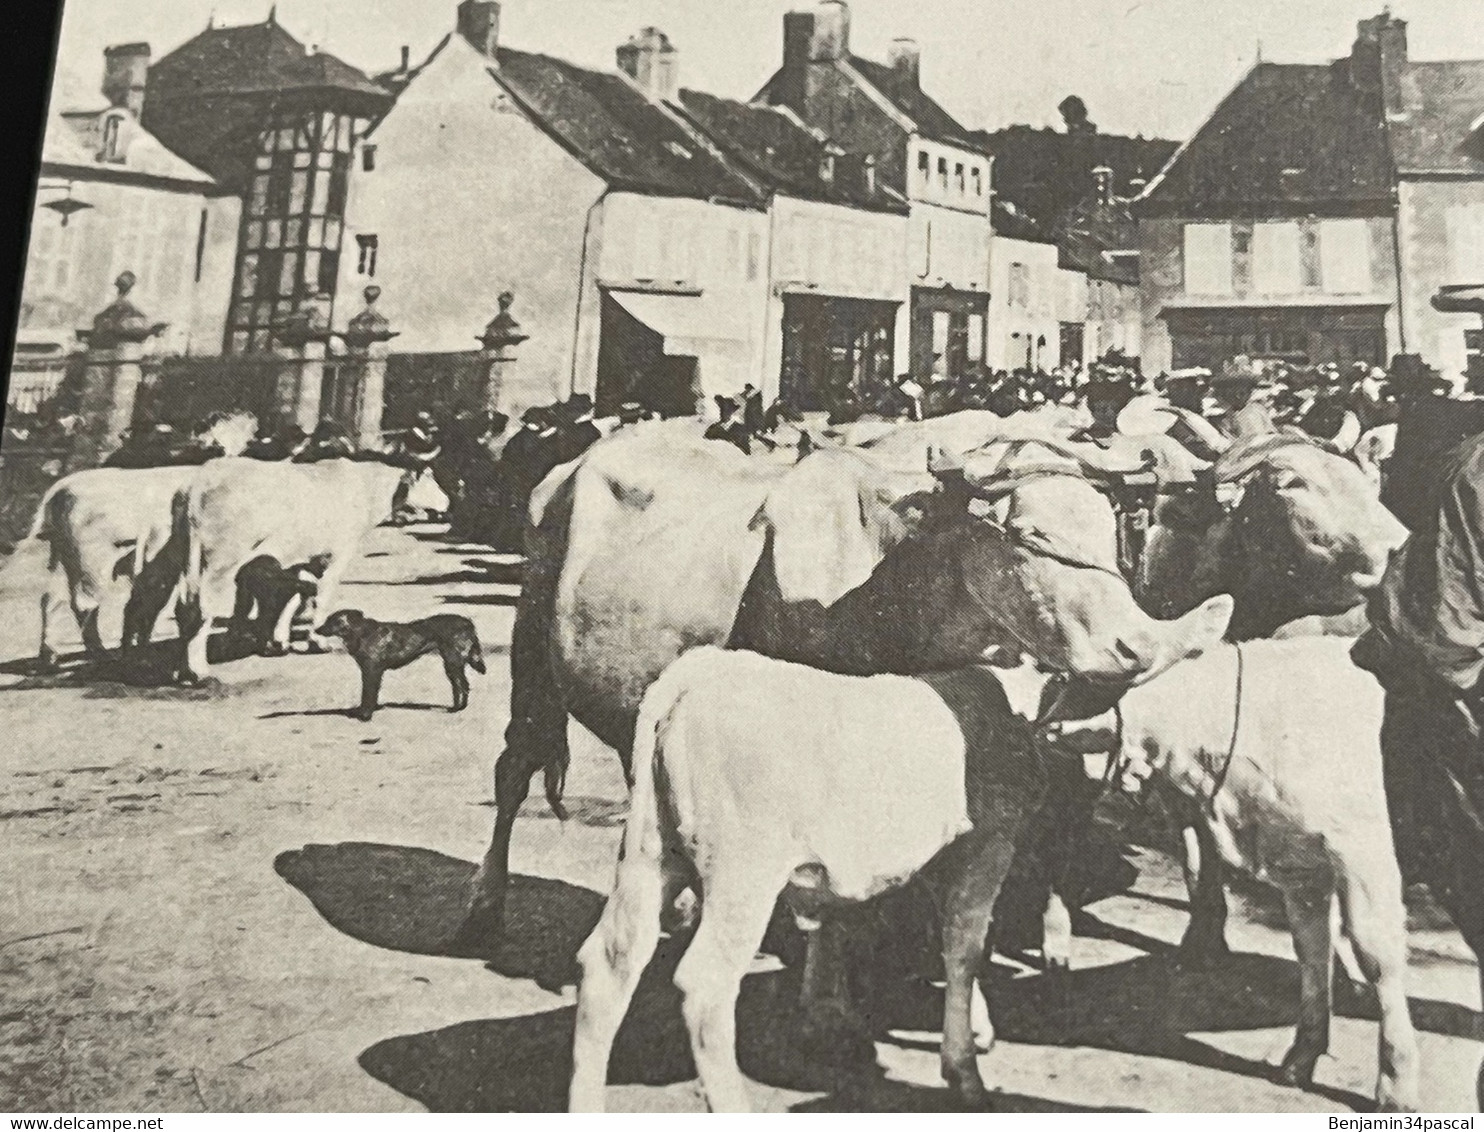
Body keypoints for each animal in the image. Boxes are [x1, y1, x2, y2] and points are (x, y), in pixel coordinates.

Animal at [172, 456, 406, 682]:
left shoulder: (304, 560)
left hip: (186, 558)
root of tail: (200, 482)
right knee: (202, 610)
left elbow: (294, 596)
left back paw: (183, 671)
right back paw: (200, 672)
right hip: (222, 559)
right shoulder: (337, 553)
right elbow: (321, 596)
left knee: (185, 608)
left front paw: (279, 641)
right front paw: (317, 642)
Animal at [320, 605, 486, 721]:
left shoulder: (372, 671)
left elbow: (368, 694)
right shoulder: (371, 672)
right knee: (460, 685)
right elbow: (369, 694)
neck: (361, 632)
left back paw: (458, 709)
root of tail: (468, 623)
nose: (317, 629)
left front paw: (366, 715)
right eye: (327, 620)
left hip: (453, 662)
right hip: (452, 664)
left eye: (333, 621)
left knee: (462, 685)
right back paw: (458, 707)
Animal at [560, 640, 1222, 1109]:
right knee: (704, 985)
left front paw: (976, 1030)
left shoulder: (935, 853)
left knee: (609, 963)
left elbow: (949, 940)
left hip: (650, 854)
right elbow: (966, 946)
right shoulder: (989, 841)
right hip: (743, 871)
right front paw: (964, 1070)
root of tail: (692, 677)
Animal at [1038, 640, 1418, 1109]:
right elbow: (1312, 952)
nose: (1042, 726)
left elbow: (1377, 953)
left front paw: (1397, 1086)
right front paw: (1300, 1059)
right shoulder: (1299, 862)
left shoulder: (1365, 850)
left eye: (1078, 684)